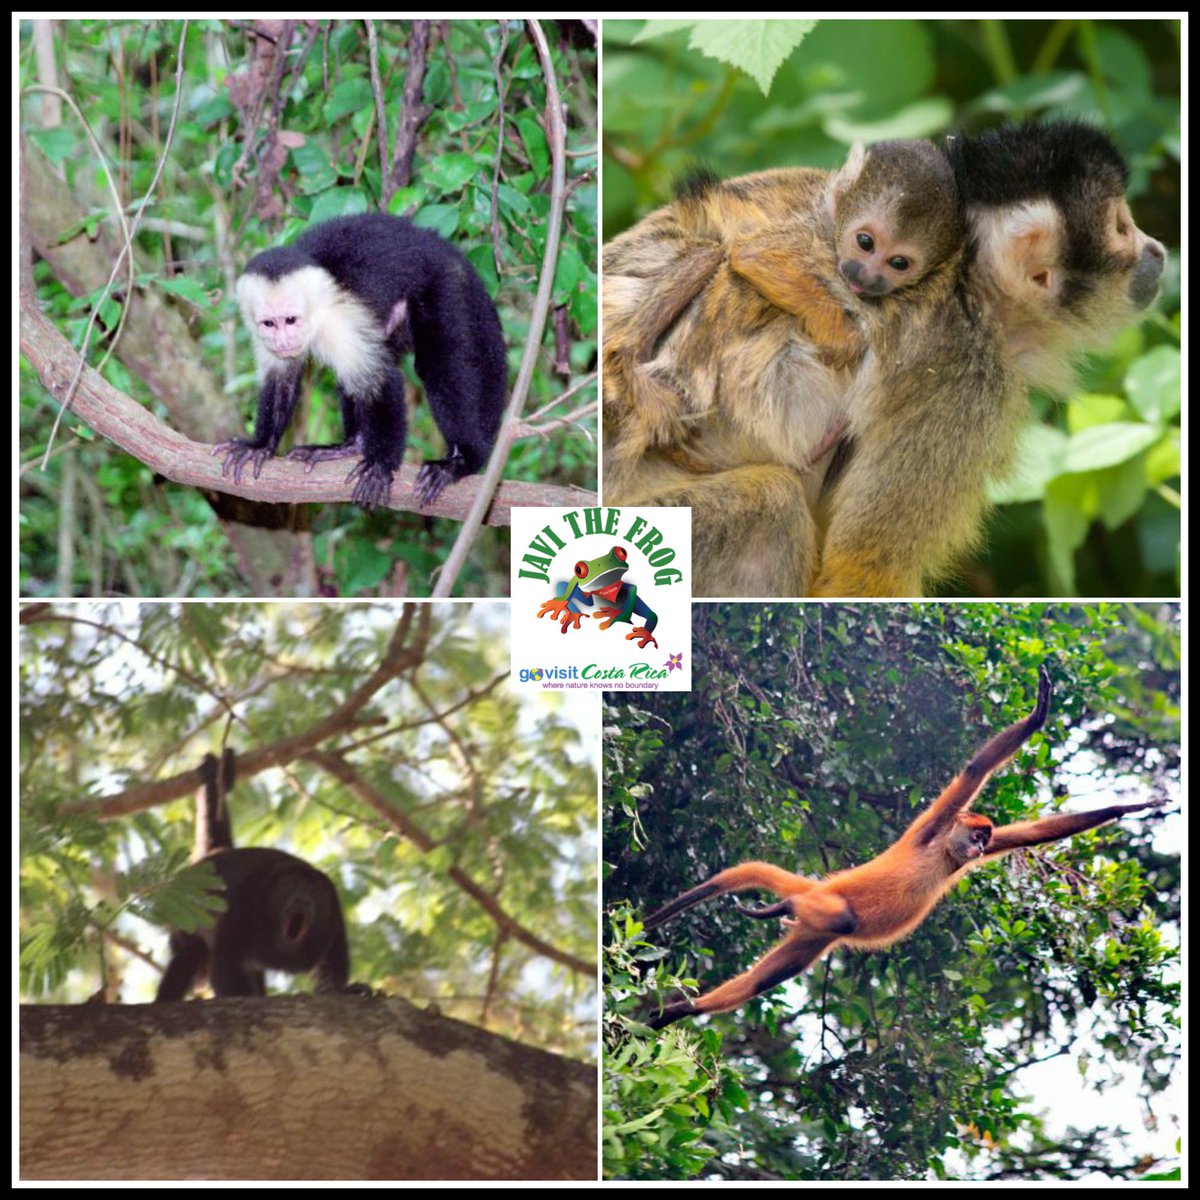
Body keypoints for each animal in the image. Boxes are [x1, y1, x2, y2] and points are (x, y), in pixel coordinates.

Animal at [155, 750, 353, 1000]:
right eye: (293, 885)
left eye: (314, 891)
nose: (303, 899)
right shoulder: (247, 900)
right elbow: (226, 966)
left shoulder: (334, 912)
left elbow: (333, 962)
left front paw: (346, 989)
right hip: (184, 921)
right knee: (186, 959)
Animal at [215, 212, 507, 511]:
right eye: (269, 323)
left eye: (291, 320)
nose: (283, 341)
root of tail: (448, 251)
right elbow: (281, 381)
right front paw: (259, 445)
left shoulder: (338, 320)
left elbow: (382, 378)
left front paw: (380, 466)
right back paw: (351, 446)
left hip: (444, 288)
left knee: (437, 366)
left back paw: (462, 459)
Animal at [602, 122, 1166, 598]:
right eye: (1122, 227)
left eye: (898, 260)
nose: (1157, 251)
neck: (969, 286)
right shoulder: (962, 382)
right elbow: (860, 574)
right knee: (772, 508)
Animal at [641, 666, 1167, 1028]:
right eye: (977, 836)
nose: (979, 851)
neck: (945, 855)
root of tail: (817, 890)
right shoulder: (933, 827)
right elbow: (975, 770)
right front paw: (1037, 715)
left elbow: (1035, 832)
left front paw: (1133, 805)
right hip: (828, 902)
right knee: (838, 920)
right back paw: (780, 907)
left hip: (813, 935)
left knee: (765, 978)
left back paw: (681, 1009)